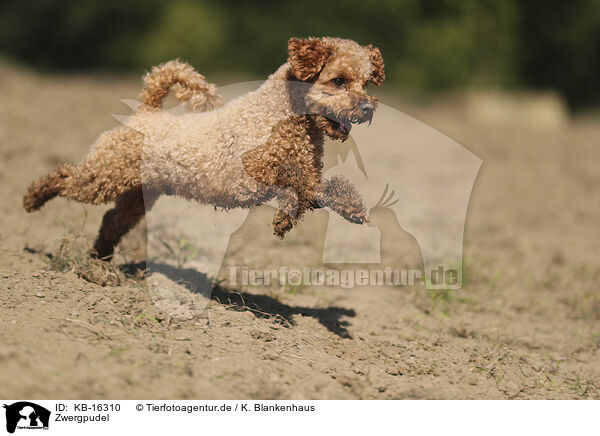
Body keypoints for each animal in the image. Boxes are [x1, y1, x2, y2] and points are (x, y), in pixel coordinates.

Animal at [23, 36, 384, 258]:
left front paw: (352, 209)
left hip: (139, 193)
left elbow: (322, 188)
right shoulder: (251, 168)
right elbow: (300, 185)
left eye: (366, 82)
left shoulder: (304, 171)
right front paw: (284, 218)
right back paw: (31, 199)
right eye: (339, 80)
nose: (368, 108)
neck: (278, 115)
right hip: (104, 175)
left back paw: (100, 259)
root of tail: (146, 112)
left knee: (113, 219)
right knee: (66, 177)